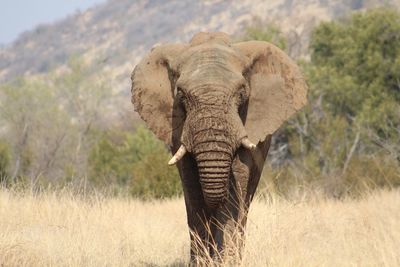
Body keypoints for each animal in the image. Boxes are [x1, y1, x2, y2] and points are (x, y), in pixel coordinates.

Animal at [130, 31, 306, 264]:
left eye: (241, 93)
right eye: (181, 95)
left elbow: (235, 188)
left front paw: (227, 262)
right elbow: (193, 191)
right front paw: (202, 263)